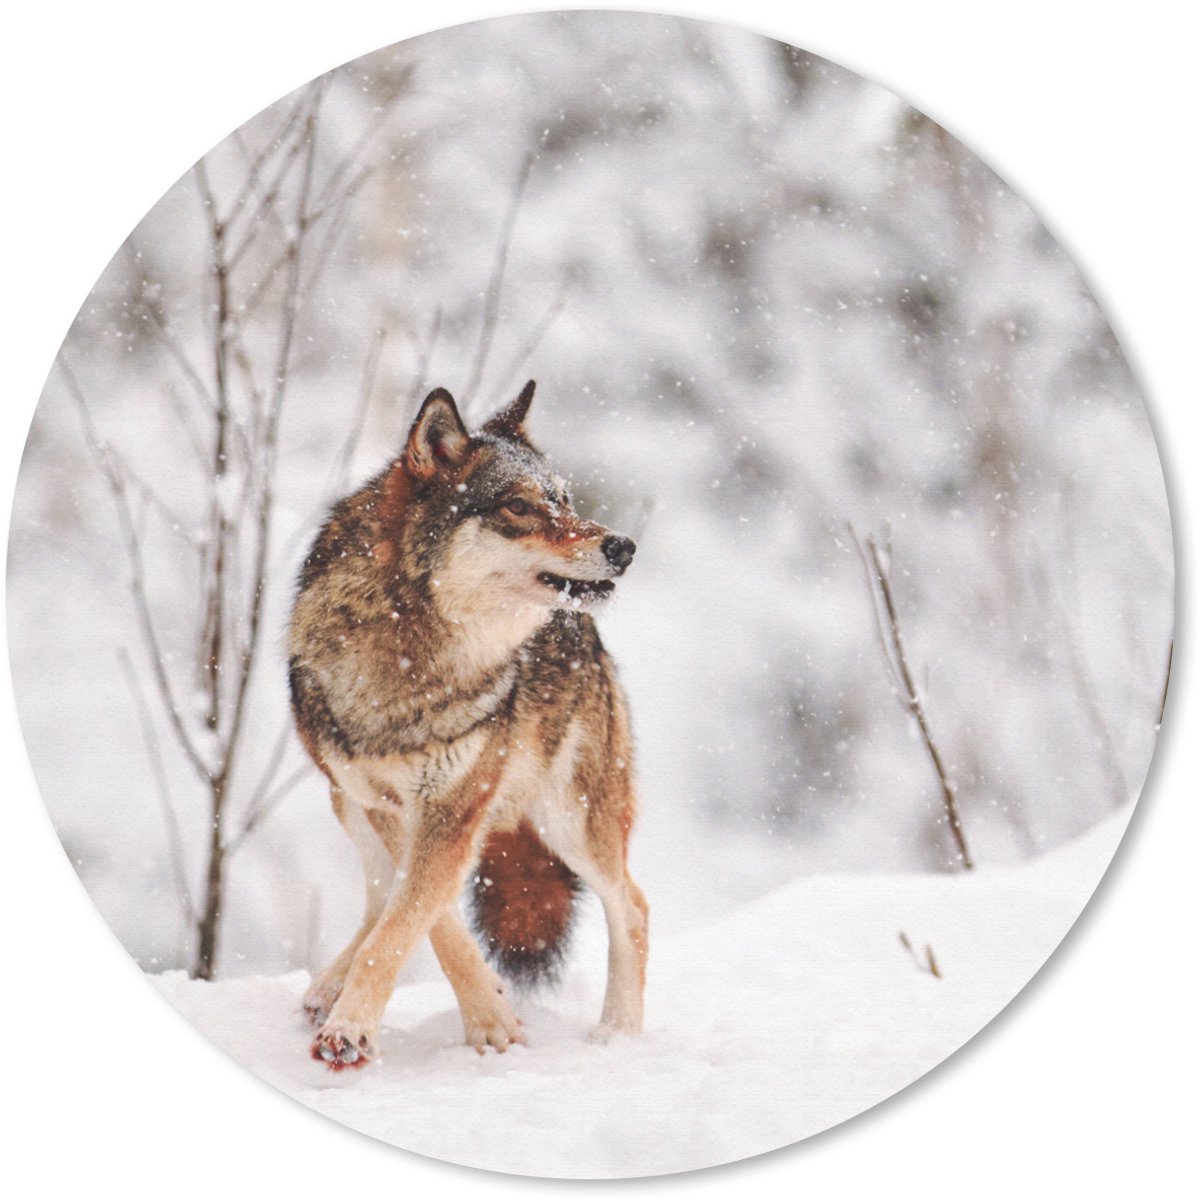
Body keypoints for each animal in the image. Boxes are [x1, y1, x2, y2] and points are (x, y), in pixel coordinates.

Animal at [288, 381, 648, 1069]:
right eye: (519, 507)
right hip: (345, 802)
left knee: (634, 908)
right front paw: (490, 1015)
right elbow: (423, 920)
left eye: (565, 500)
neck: (413, 655)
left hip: (571, 821)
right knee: (378, 894)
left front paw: (356, 1030)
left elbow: (408, 922)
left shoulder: (453, 807)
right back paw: (325, 988)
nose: (623, 546)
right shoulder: (389, 804)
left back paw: (618, 1035)